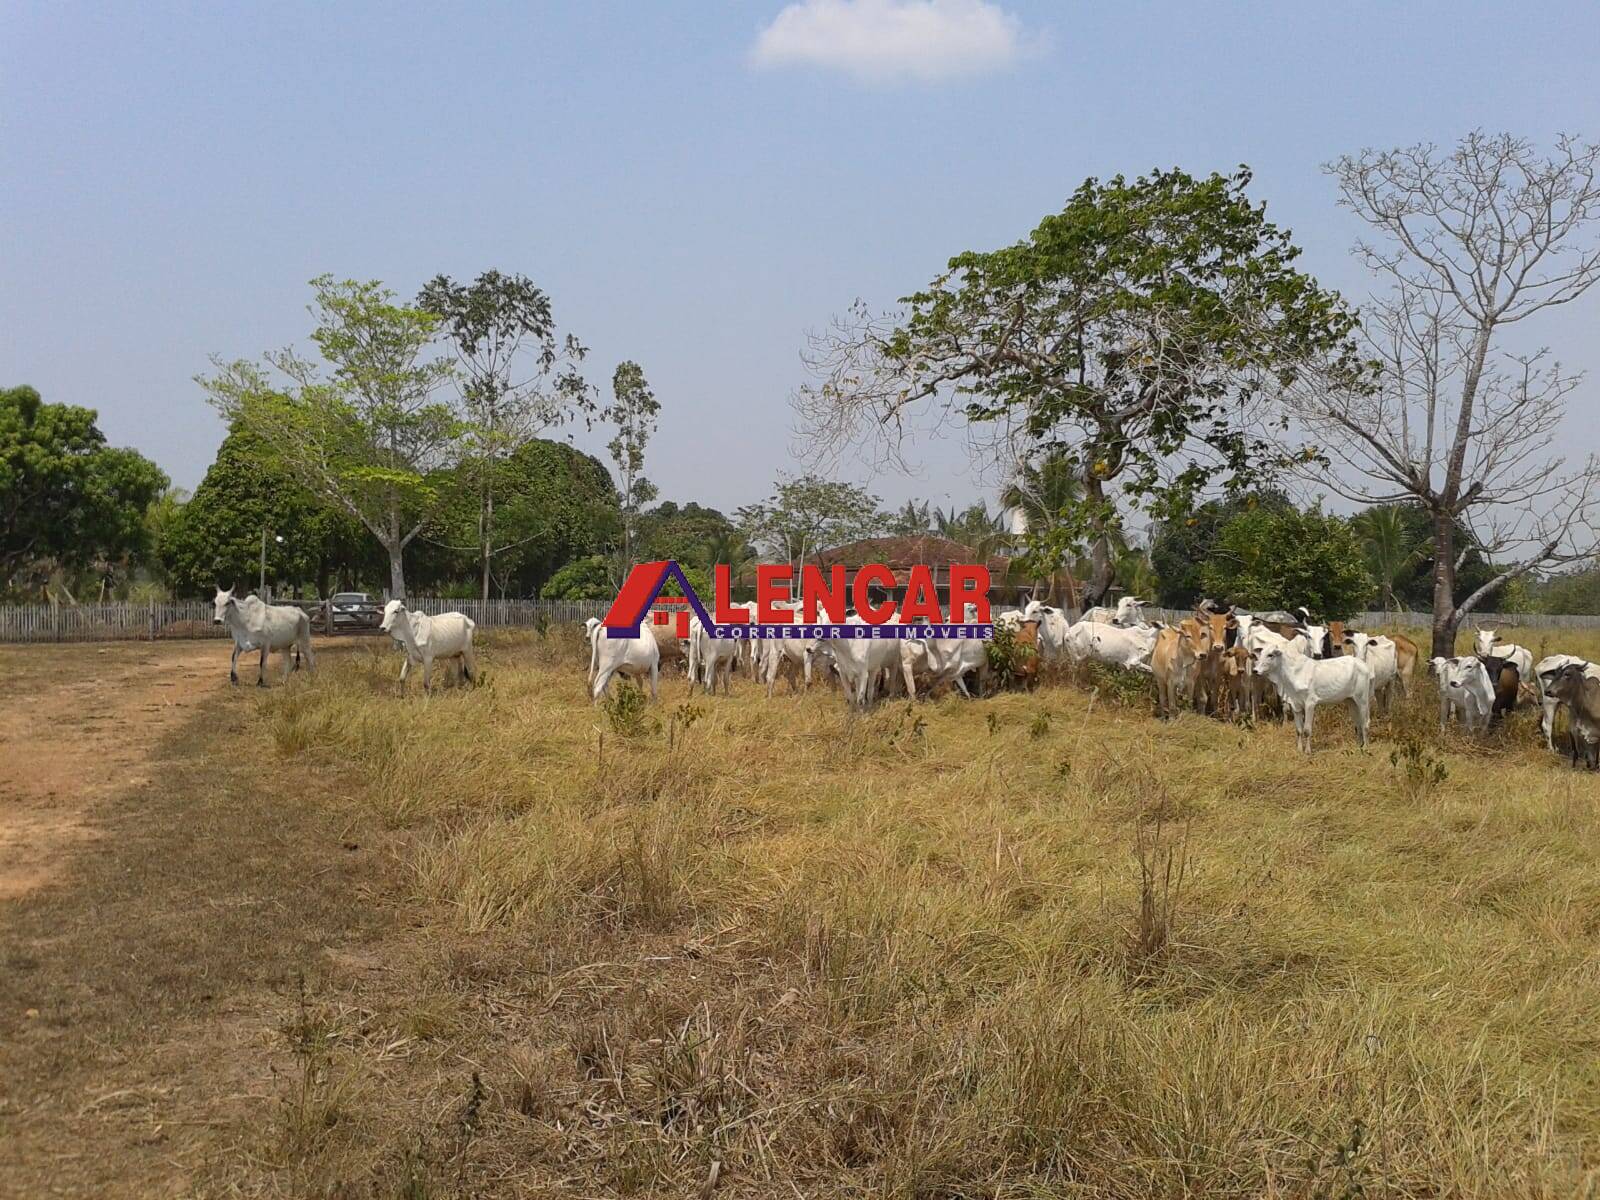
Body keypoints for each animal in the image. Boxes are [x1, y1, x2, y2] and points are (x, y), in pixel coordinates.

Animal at [1248, 649, 1376, 752]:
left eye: (1270, 655)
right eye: (1260, 655)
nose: (1255, 670)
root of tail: (1364, 665)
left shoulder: (1310, 703)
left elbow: (1307, 730)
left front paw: (1308, 751)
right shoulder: (1295, 705)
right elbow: (1299, 730)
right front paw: (1299, 749)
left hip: (1363, 699)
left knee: (1365, 722)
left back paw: (1365, 747)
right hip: (1351, 701)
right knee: (1358, 724)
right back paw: (1358, 745)